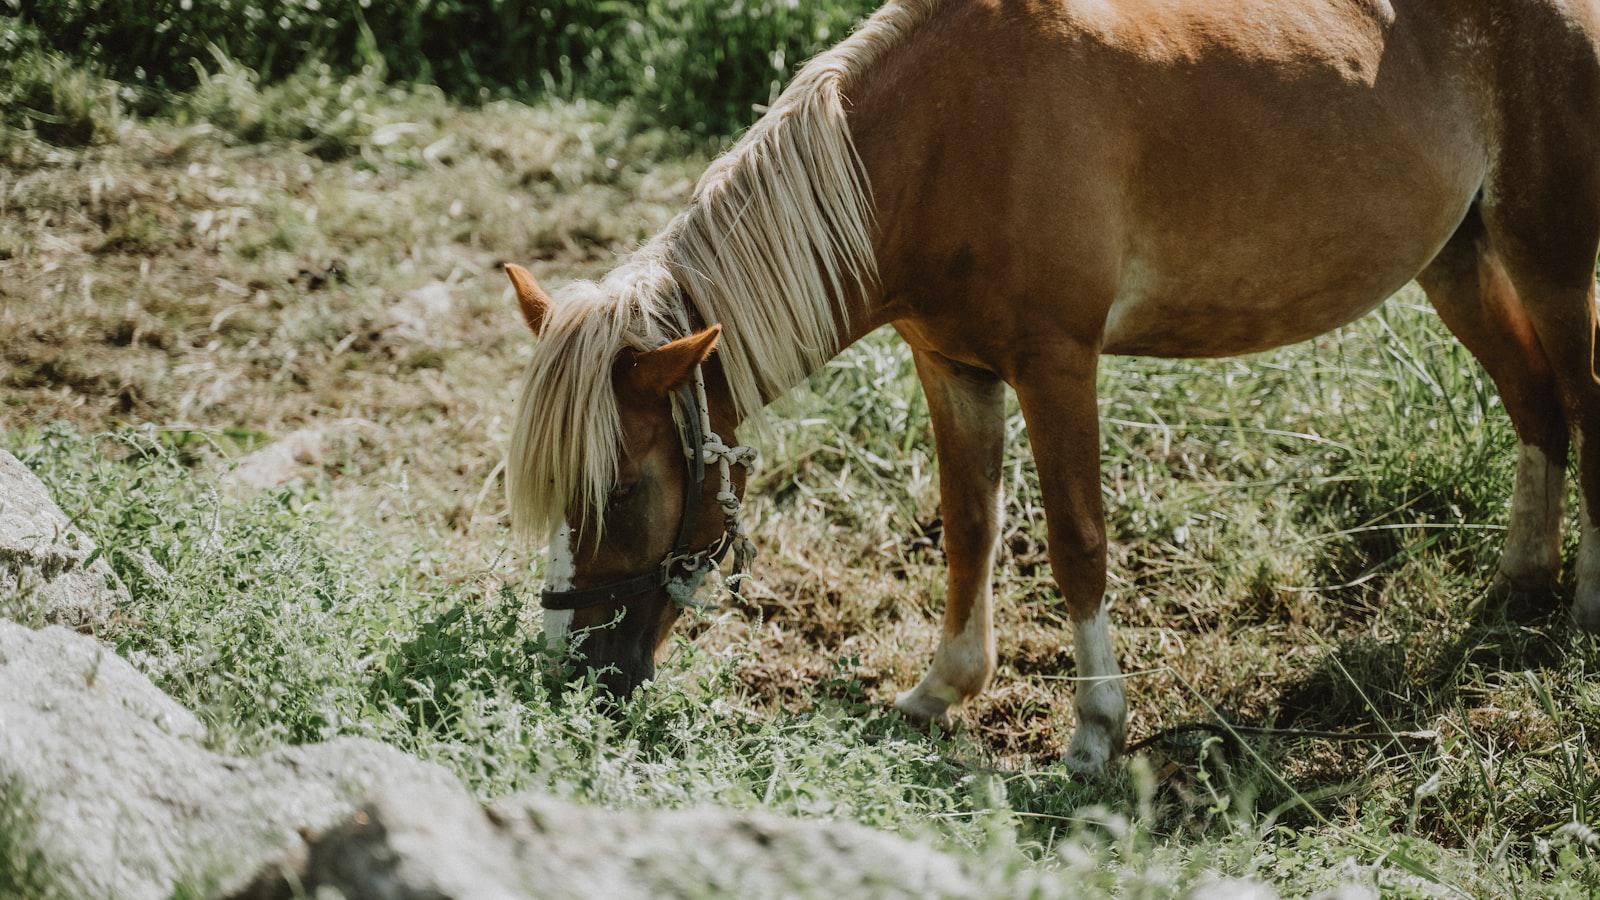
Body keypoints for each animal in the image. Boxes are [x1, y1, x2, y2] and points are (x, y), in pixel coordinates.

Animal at [505, 1, 1600, 771]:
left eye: (626, 490)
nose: (568, 672)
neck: (940, 140)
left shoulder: (1056, 363)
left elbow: (1077, 545)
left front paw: (1094, 732)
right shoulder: (954, 367)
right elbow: (969, 529)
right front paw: (939, 692)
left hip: (1550, 256)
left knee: (1581, 404)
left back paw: (1582, 607)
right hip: (1457, 259)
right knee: (1538, 409)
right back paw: (1518, 585)